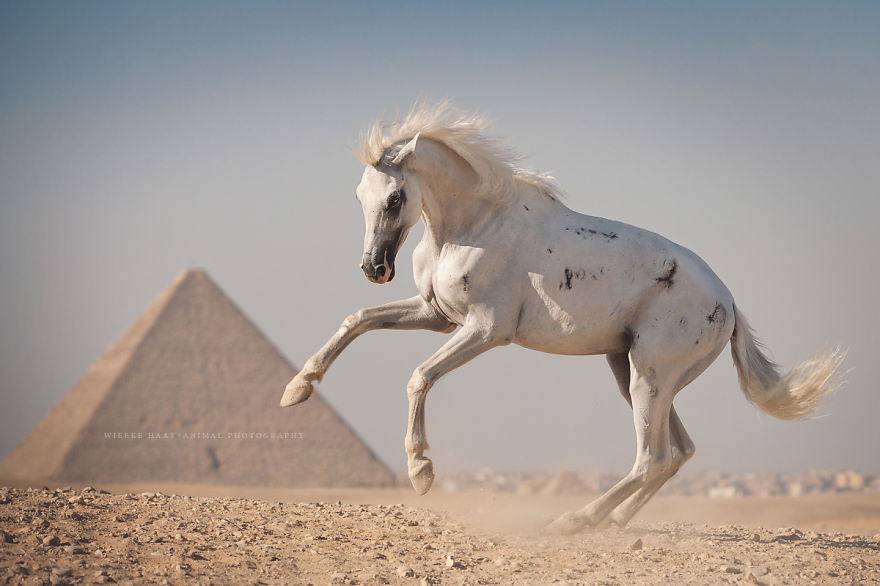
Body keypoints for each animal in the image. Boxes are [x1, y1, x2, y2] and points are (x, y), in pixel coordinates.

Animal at [280, 100, 844, 532]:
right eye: (360, 195)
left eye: (396, 197)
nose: (374, 268)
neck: (474, 226)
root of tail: (728, 303)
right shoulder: (436, 315)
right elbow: (357, 319)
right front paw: (296, 389)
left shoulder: (485, 330)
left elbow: (419, 376)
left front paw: (421, 470)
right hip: (631, 371)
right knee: (677, 453)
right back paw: (610, 524)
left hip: (650, 377)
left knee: (653, 457)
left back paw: (573, 521)